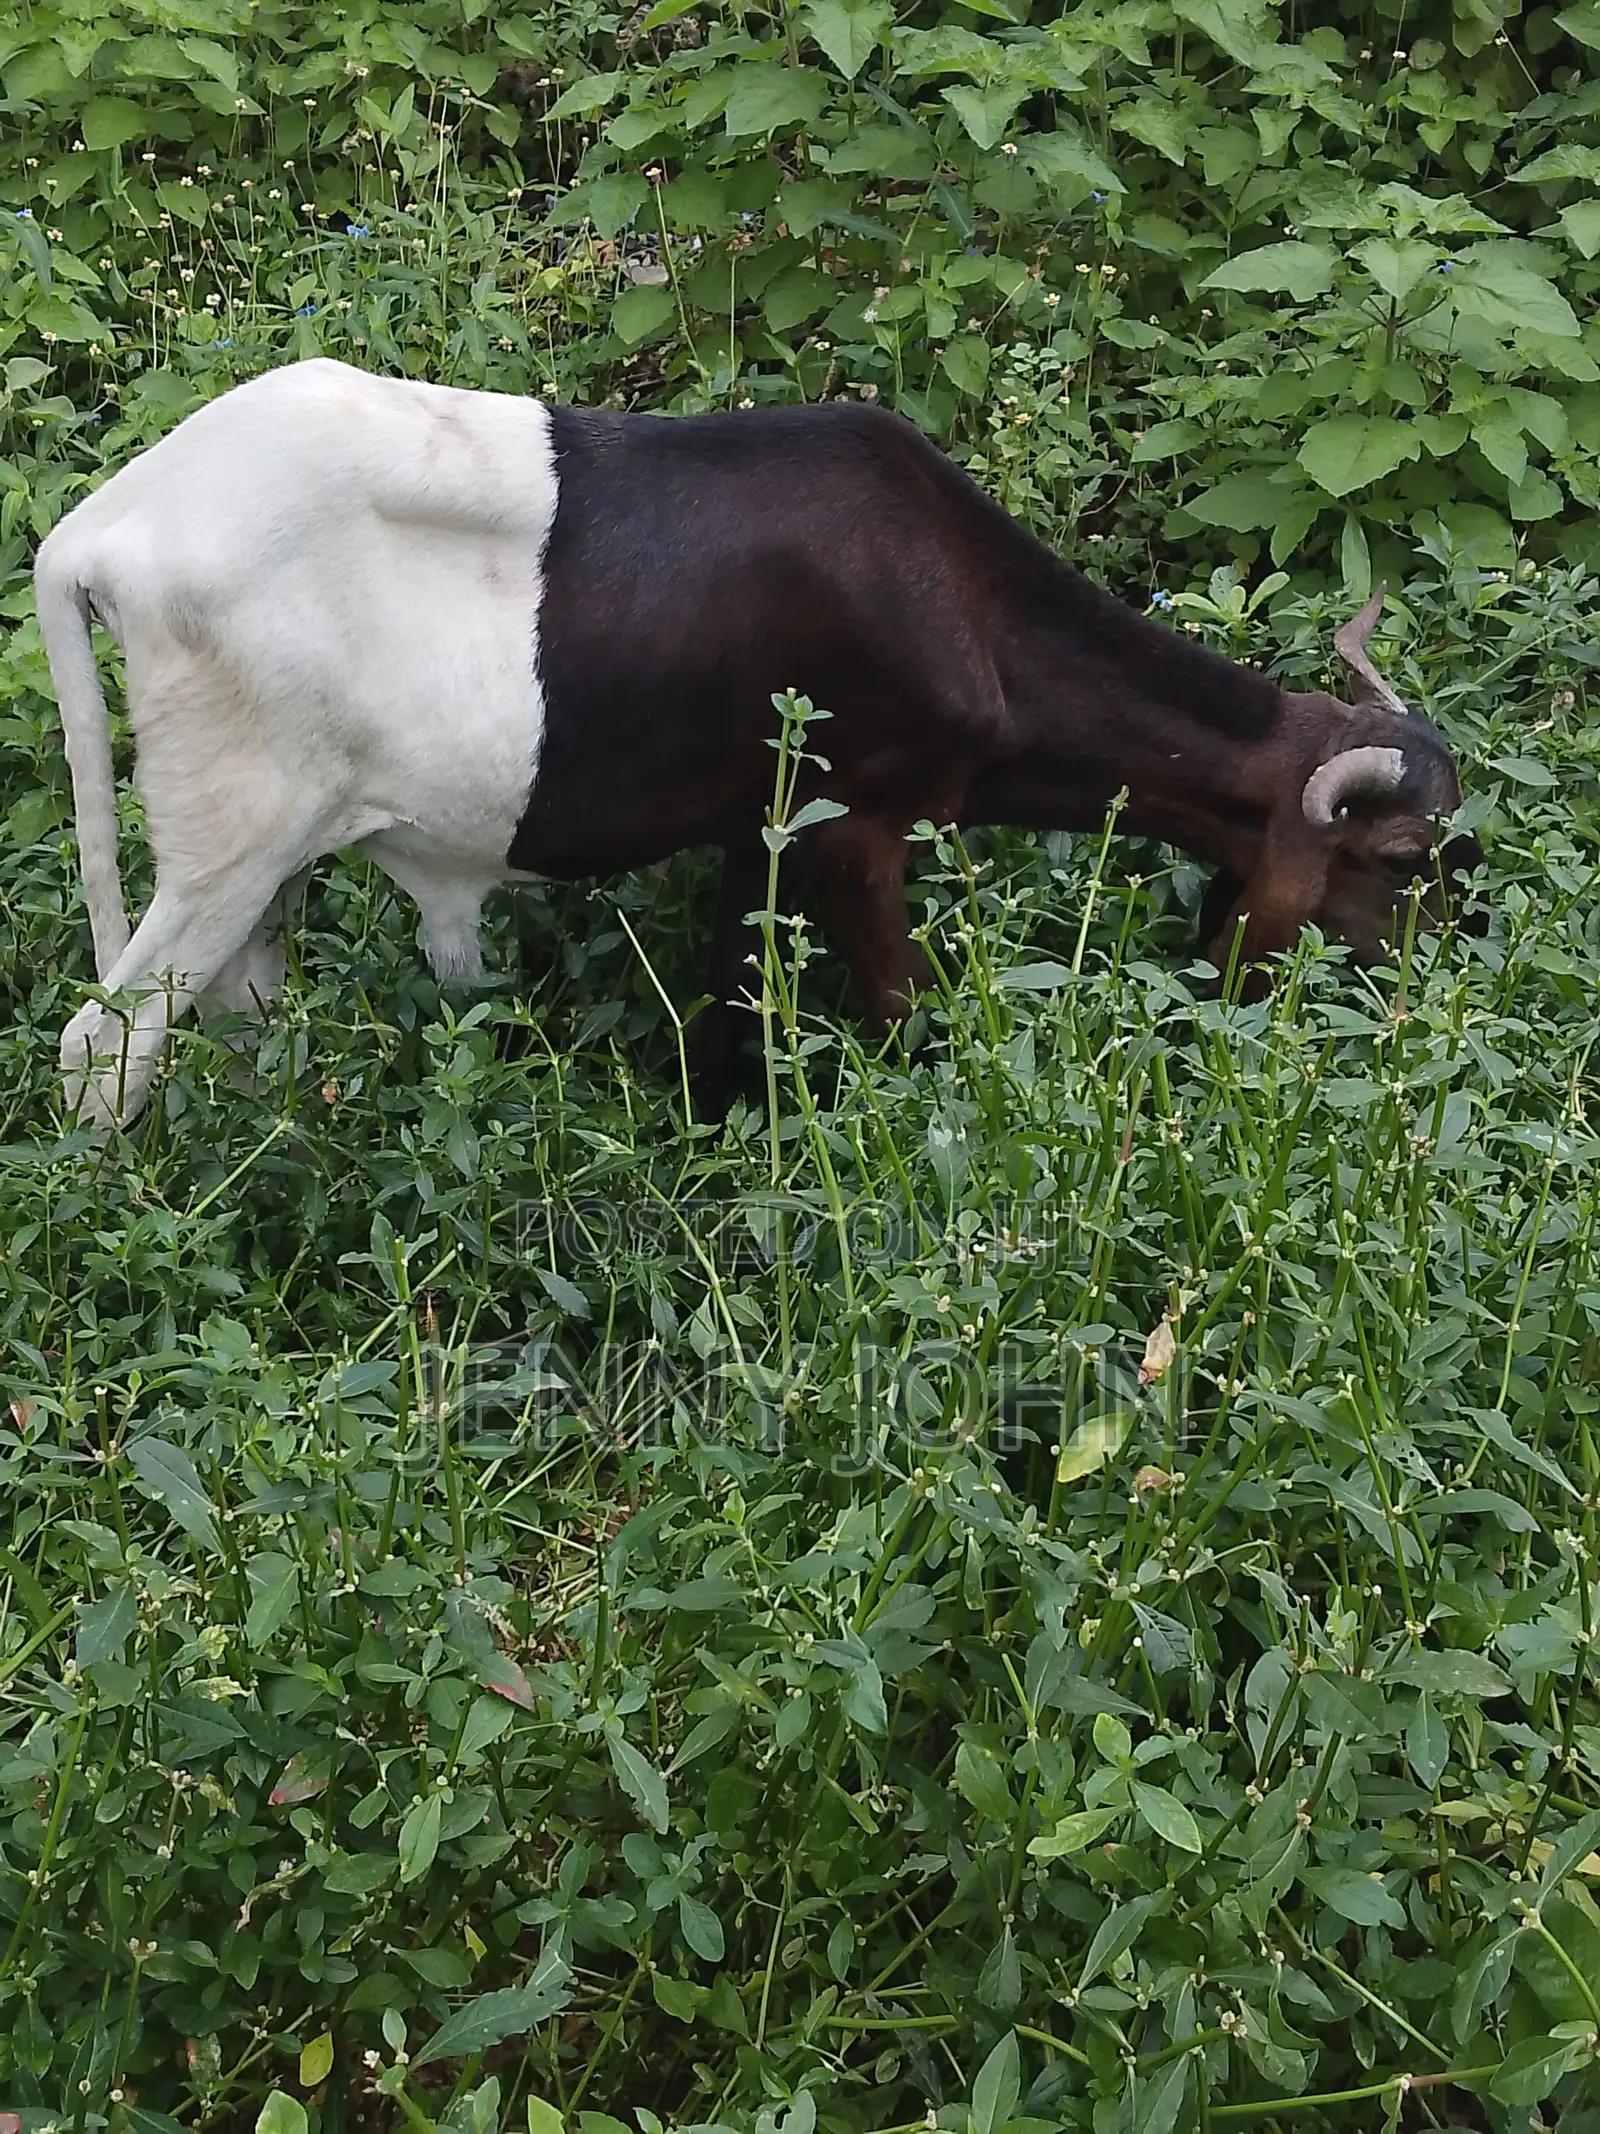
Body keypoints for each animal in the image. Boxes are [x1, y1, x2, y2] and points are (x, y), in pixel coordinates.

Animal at [34, 356, 1472, 1129]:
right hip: (232, 841)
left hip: (261, 863)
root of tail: (102, 525)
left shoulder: (756, 833)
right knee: (103, 1047)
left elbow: (727, 1012)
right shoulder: (861, 827)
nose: (1432, 996)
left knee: (238, 1017)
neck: (964, 604)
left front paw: (710, 1137)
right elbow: (900, 1010)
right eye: (1403, 861)